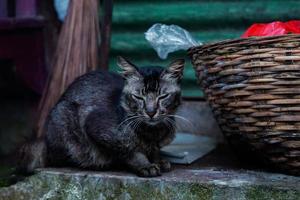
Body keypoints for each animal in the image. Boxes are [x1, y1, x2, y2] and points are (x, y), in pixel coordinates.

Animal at [19, 56, 185, 177]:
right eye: (138, 97)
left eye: (163, 96)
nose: (151, 112)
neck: (153, 132)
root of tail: (45, 142)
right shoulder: (96, 127)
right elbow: (129, 150)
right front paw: (145, 165)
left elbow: (154, 150)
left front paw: (158, 160)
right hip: (63, 119)